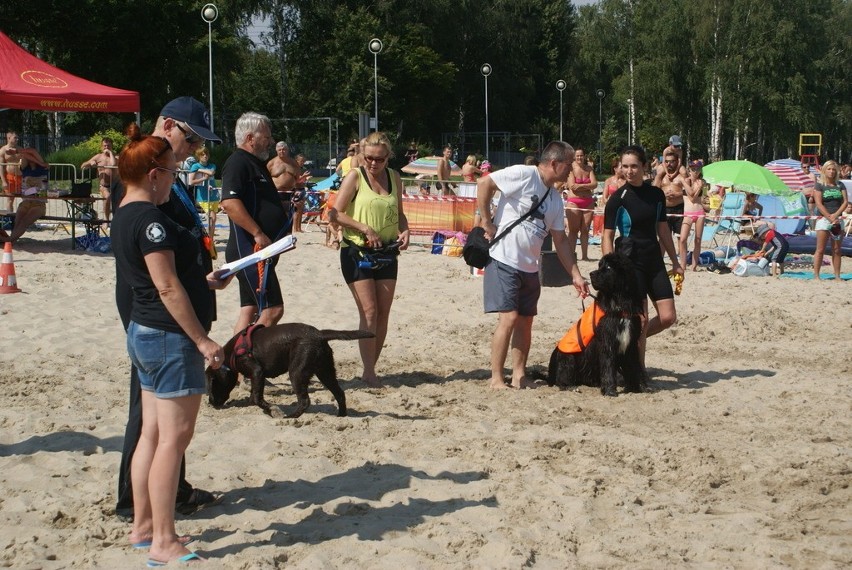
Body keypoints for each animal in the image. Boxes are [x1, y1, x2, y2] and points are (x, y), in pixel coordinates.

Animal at [206, 322, 372, 414]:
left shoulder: (257, 372)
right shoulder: (255, 377)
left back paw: (291, 417)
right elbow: (253, 396)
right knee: (340, 394)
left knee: (305, 401)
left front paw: (272, 410)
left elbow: (258, 398)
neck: (231, 353)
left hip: (296, 373)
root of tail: (319, 334)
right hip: (325, 372)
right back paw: (341, 416)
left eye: (212, 383)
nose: (210, 403)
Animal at [544, 252, 644, 394]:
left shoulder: (632, 342)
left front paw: (637, 387)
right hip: (567, 357)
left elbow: (633, 366)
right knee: (562, 377)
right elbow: (608, 366)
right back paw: (570, 386)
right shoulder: (607, 341)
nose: (591, 274)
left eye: (608, 267)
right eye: (599, 265)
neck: (619, 304)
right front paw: (609, 390)